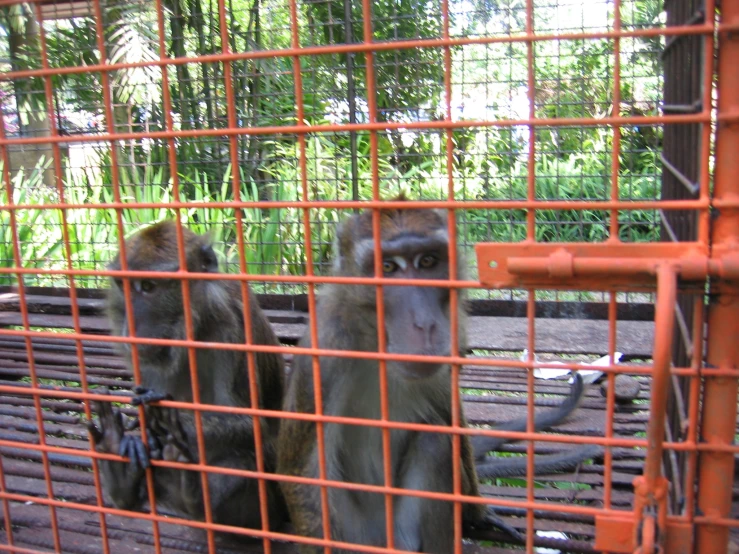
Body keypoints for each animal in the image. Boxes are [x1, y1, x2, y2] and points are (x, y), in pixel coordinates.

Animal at [88, 220, 288, 536]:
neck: (192, 327)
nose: (131, 322)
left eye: (148, 287)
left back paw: (186, 487)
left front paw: (161, 417)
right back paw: (123, 473)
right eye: (124, 286)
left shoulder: (229, 330)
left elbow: (251, 424)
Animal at [276, 199, 596, 552]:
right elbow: (301, 470)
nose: (424, 325)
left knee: (436, 440)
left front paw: (477, 512)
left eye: (428, 261)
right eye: (388, 268)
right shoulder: (328, 350)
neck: (374, 340)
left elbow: (450, 415)